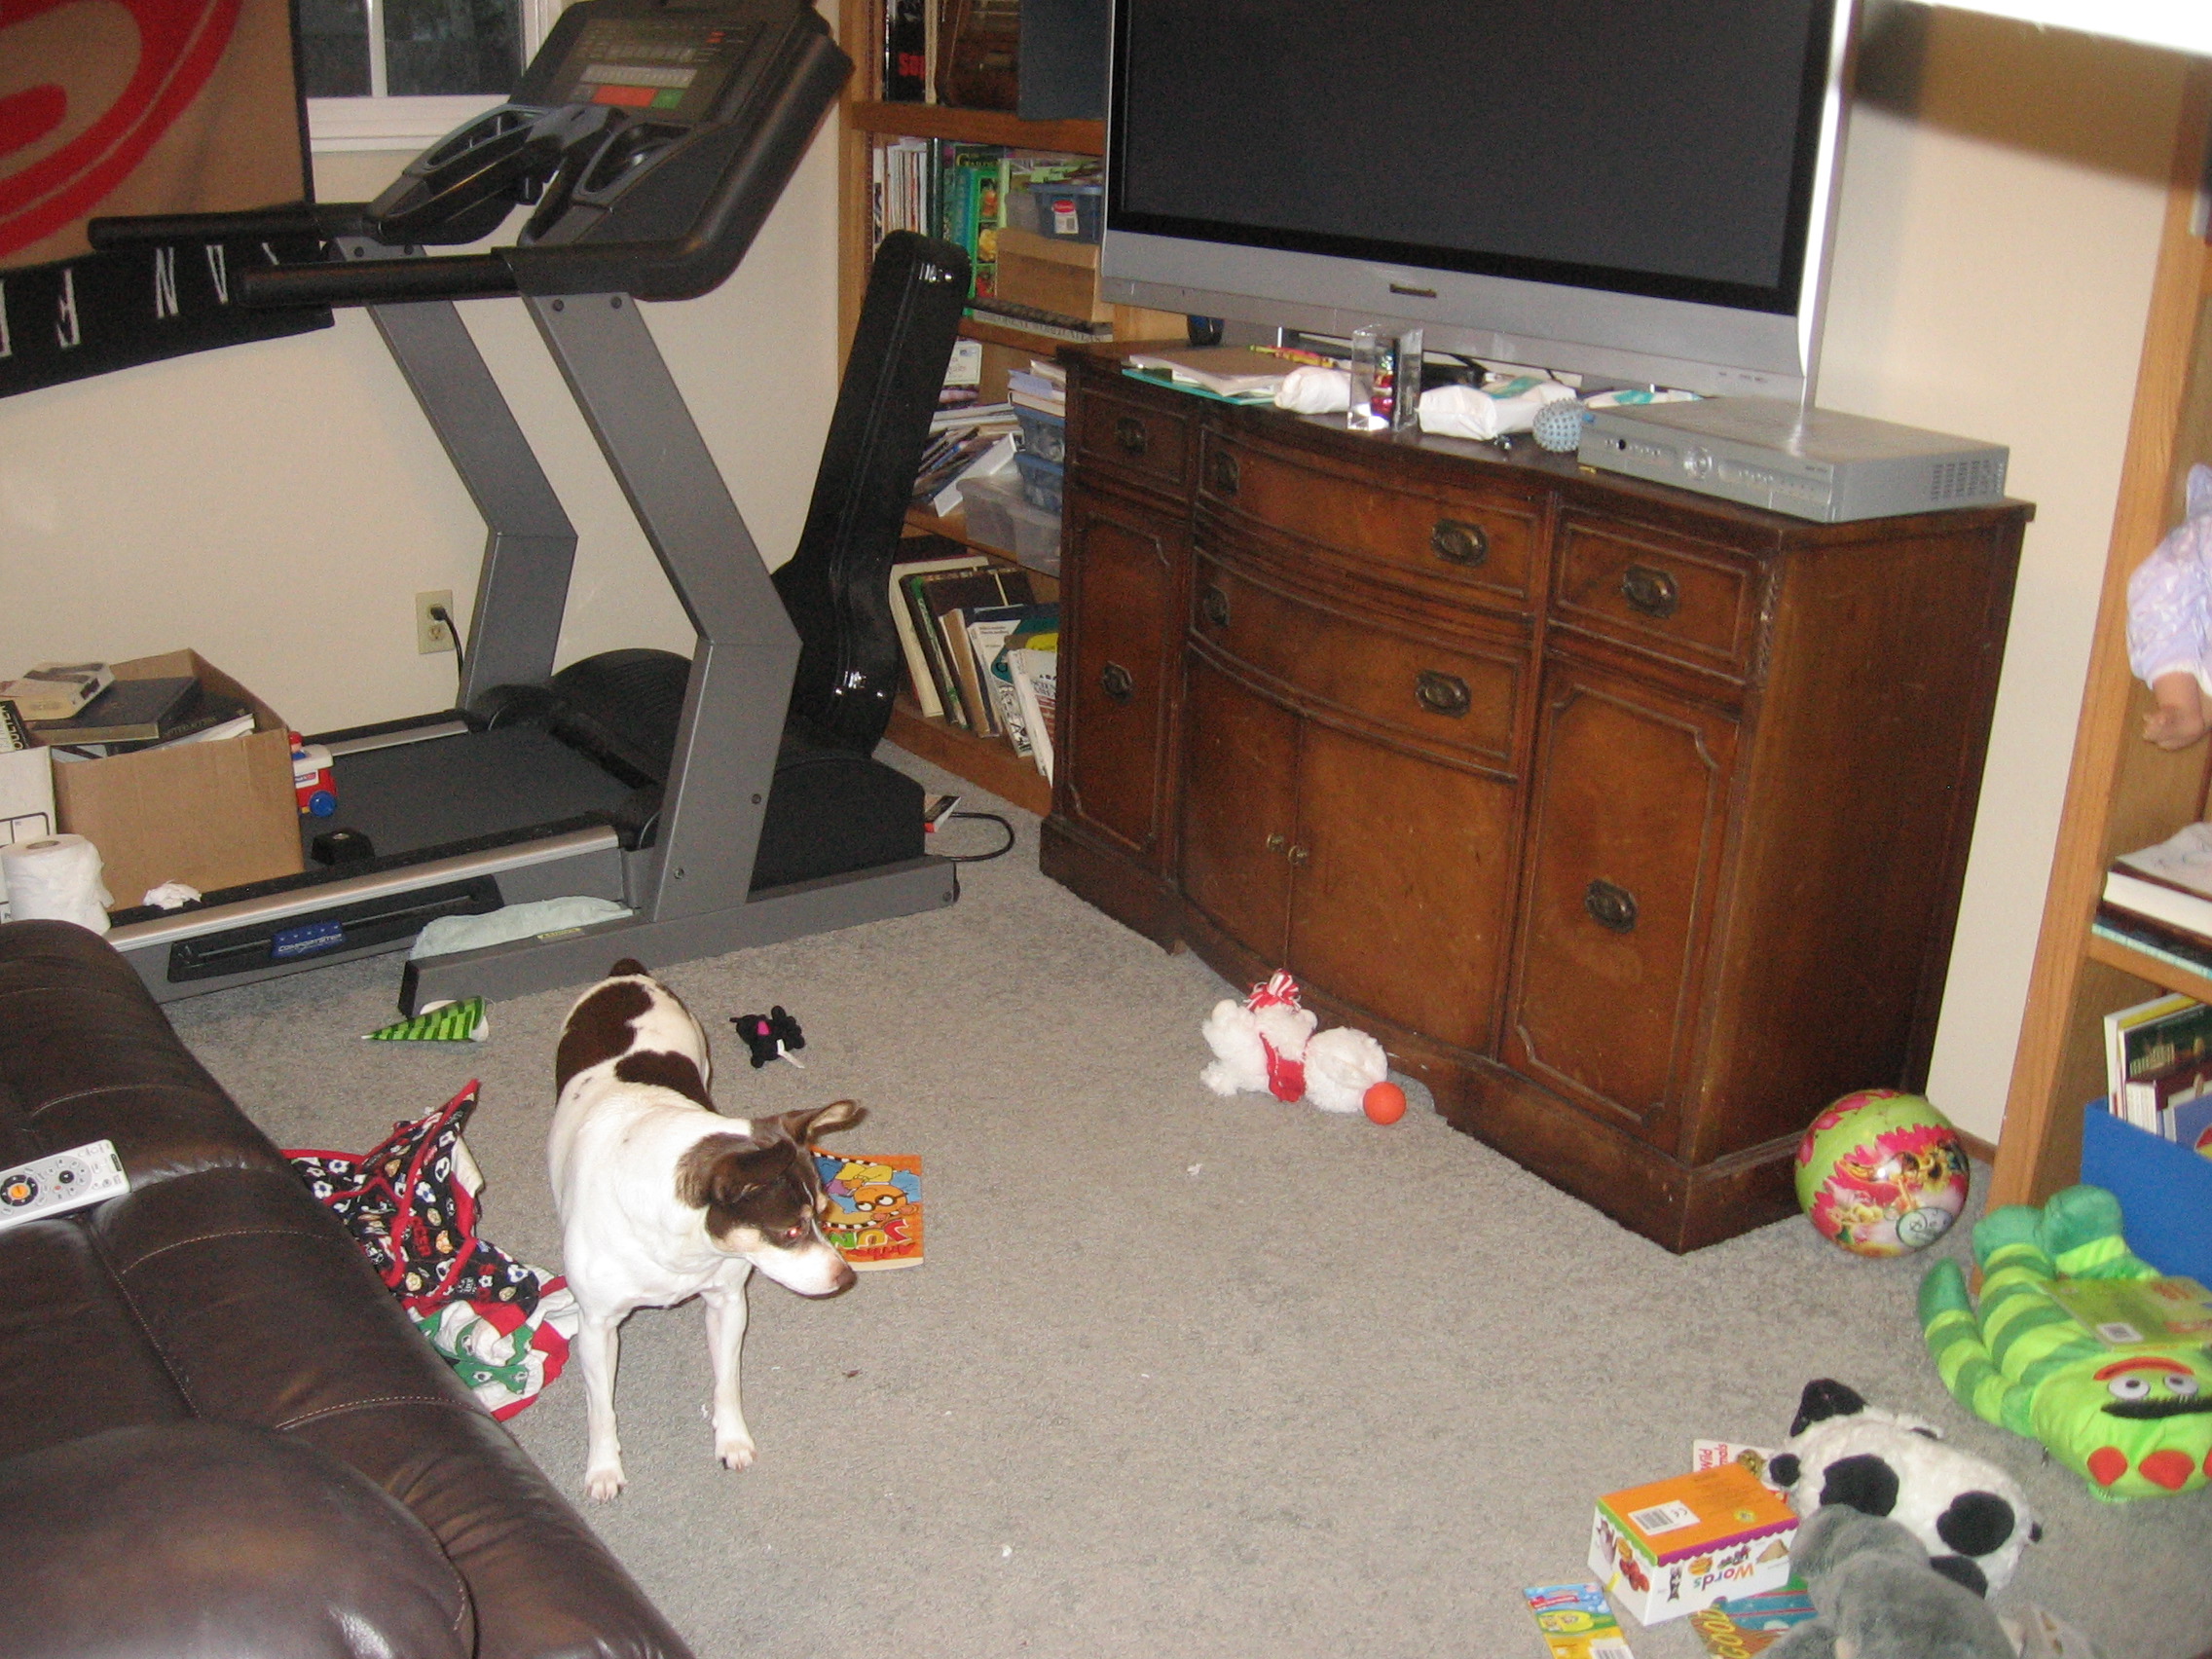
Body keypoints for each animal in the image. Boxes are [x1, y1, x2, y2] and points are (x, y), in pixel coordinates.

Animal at [550, 958, 862, 1501]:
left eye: (824, 1214)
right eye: (790, 1231)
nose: (846, 1279)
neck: (681, 1245)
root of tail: (626, 975)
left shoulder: (727, 1303)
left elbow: (726, 1382)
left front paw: (732, 1440)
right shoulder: (597, 1328)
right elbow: (601, 1410)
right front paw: (603, 1468)